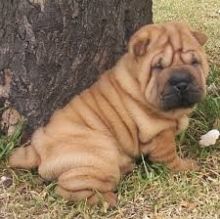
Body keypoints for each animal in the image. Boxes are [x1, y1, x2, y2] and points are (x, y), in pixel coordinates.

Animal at [9, 21, 209, 206]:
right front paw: (187, 166)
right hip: (101, 156)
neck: (138, 83)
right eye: (158, 67)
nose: (181, 82)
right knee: (67, 189)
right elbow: (170, 158)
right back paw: (108, 200)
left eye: (194, 62)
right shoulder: (159, 134)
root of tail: (38, 149)